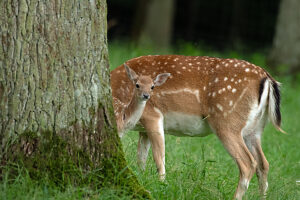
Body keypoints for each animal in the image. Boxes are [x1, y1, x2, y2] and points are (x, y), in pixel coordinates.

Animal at [110, 55, 284, 200]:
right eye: (138, 85)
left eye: (152, 87)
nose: (146, 95)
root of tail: (267, 78)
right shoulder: (143, 129)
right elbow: (141, 160)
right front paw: (142, 179)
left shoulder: (152, 116)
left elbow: (159, 158)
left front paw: (162, 186)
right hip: (255, 129)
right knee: (263, 164)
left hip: (227, 122)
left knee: (248, 163)